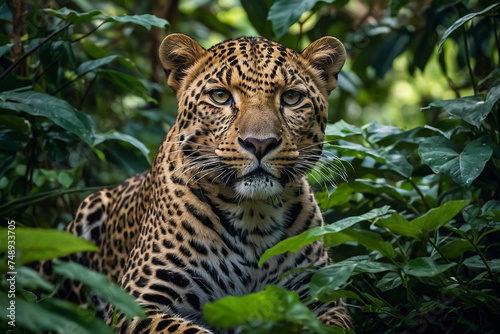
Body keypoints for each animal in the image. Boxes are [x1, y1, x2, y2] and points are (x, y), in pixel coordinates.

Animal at [44, 32, 352, 332]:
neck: (254, 218)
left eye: (291, 97)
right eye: (220, 96)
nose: (260, 143)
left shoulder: (323, 294)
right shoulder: (136, 302)